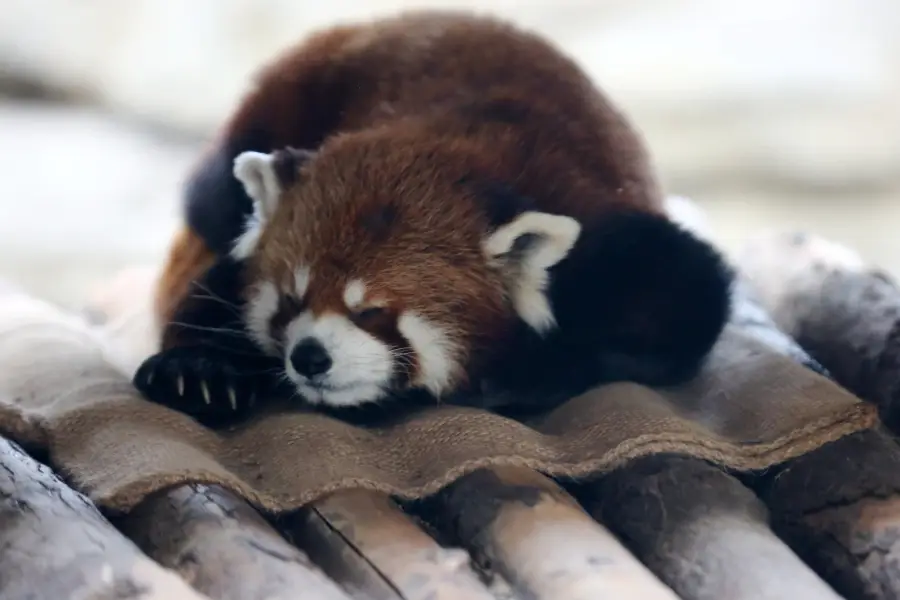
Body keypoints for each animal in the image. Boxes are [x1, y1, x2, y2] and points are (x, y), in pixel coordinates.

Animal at [137, 8, 736, 422]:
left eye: (371, 312)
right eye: (289, 300)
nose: (308, 357)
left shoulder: (617, 246)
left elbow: (675, 313)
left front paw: (520, 375)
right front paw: (199, 369)